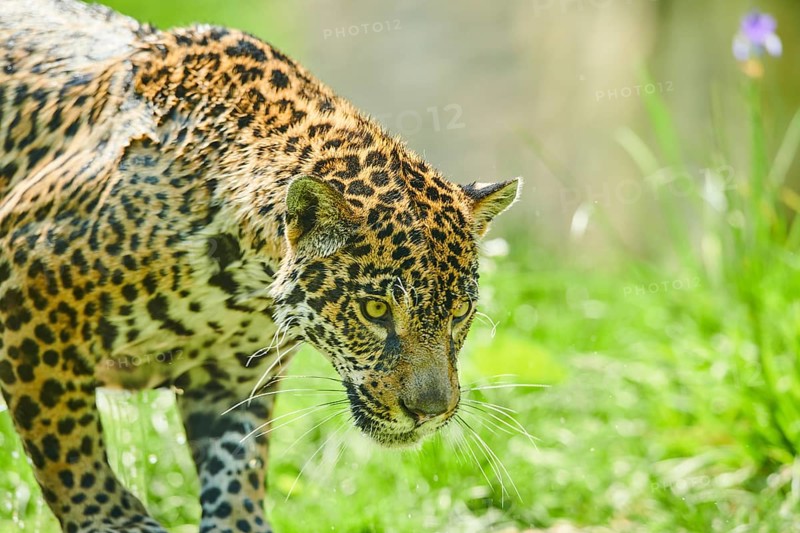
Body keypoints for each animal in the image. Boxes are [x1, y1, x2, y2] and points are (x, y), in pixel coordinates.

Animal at [0, 0, 521, 531]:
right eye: (375, 310)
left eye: (459, 313)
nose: (430, 412)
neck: (244, 278)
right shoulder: (27, 293)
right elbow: (67, 442)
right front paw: (112, 520)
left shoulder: (232, 378)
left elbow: (236, 464)